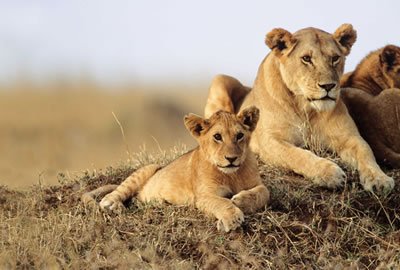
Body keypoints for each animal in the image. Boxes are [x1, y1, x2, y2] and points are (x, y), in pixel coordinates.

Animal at [81, 107, 270, 232]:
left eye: (239, 136)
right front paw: (231, 218)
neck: (232, 175)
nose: (231, 159)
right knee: (116, 193)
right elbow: (222, 202)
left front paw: (240, 201)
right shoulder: (204, 195)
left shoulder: (257, 183)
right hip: (148, 168)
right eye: (217, 136)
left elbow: (264, 193)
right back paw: (113, 204)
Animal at [203, 23, 394, 192]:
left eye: (335, 58)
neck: (306, 108)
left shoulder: (349, 137)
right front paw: (329, 173)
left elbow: (366, 152)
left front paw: (380, 179)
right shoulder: (270, 141)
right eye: (306, 58)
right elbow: (297, 155)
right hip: (221, 80)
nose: (328, 86)